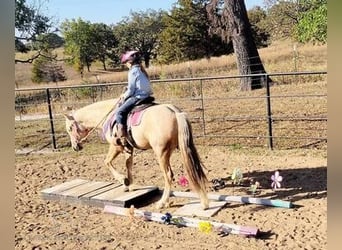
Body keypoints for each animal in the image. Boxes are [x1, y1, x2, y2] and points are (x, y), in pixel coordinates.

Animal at [63, 97, 208, 209]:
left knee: (168, 175)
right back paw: (202, 202)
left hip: (161, 153)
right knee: (193, 170)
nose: (75, 147)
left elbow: (107, 162)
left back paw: (162, 202)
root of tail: (174, 112)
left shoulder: (116, 147)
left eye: (70, 128)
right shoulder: (128, 148)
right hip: (183, 148)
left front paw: (124, 180)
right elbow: (128, 165)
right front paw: (129, 185)